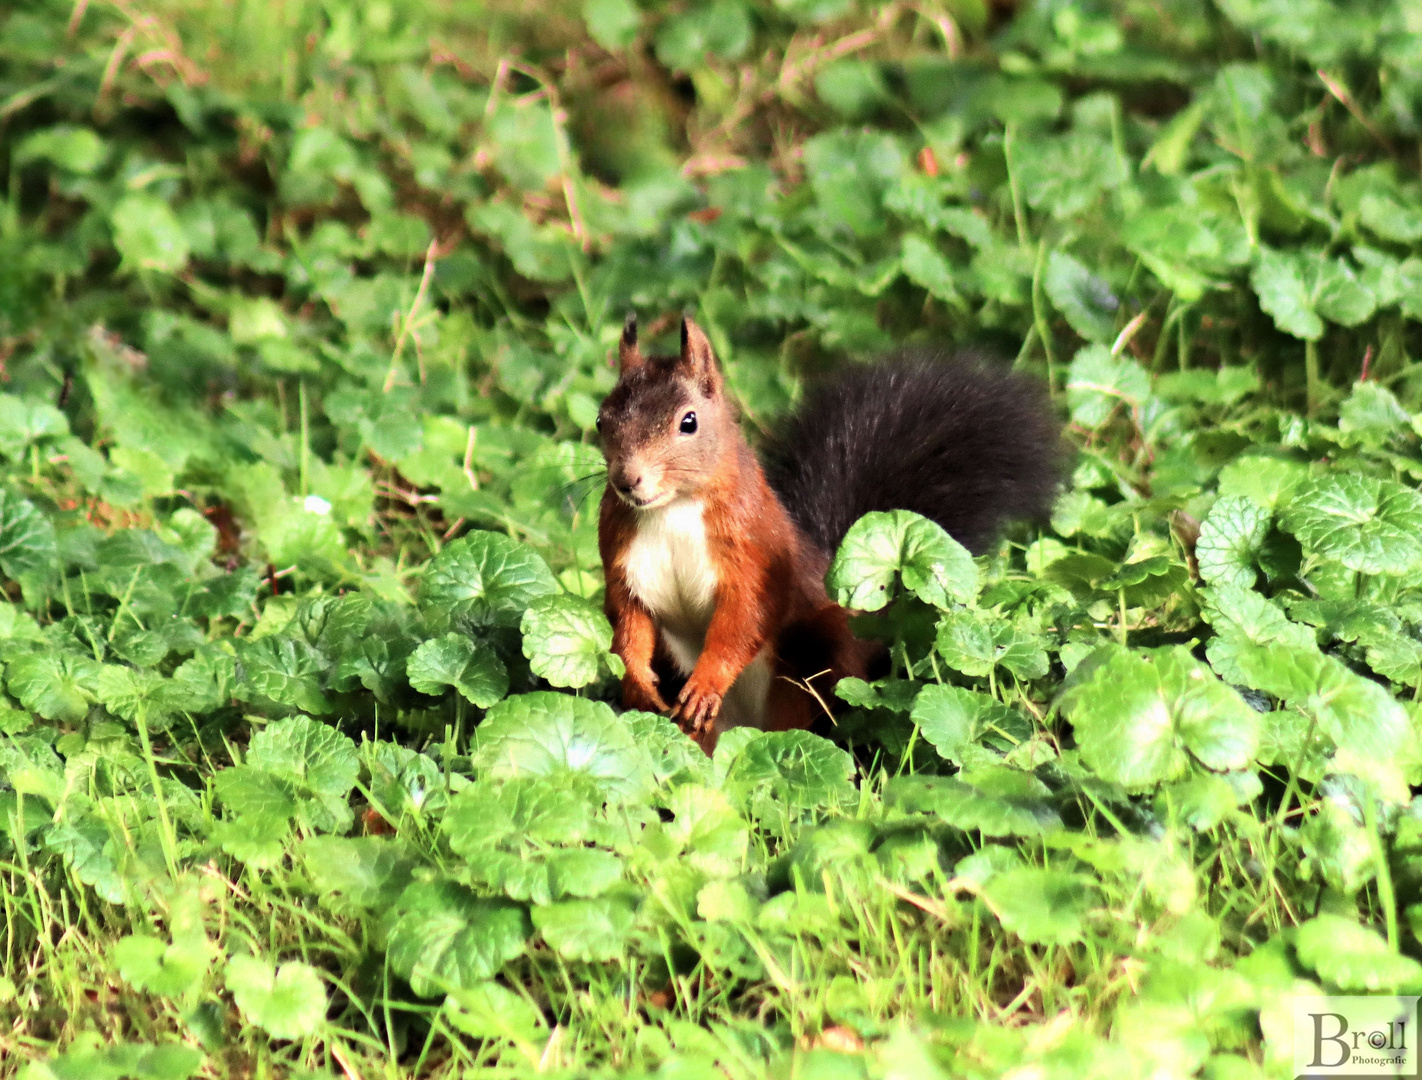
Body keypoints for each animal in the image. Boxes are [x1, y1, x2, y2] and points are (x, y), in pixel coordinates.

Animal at [594, 313, 1063, 751]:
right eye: (601, 420)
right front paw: (636, 680)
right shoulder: (623, 560)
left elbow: (746, 618)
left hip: (817, 662)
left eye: (688, 422)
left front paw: (706, 684)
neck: (671, 510)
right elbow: (628, 620)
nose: (627, 480)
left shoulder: (755, 550)